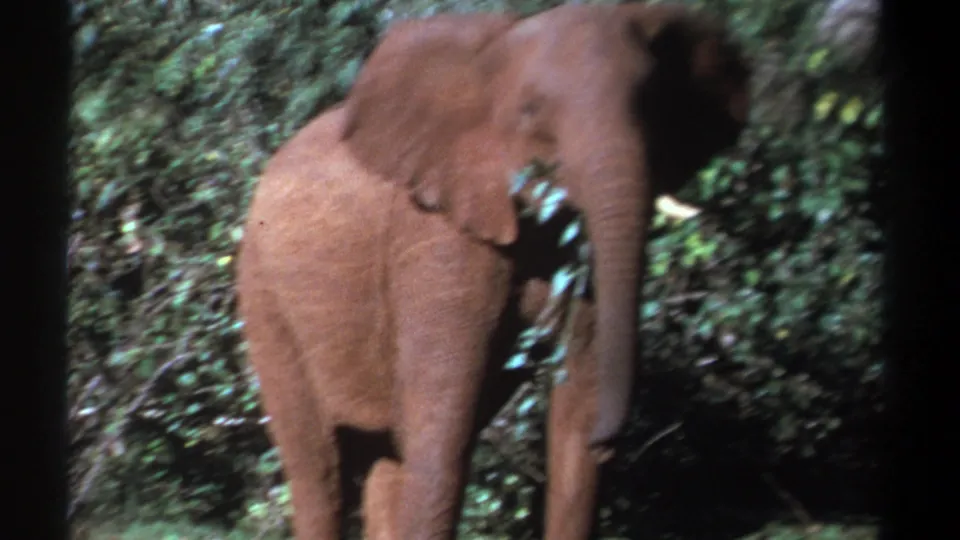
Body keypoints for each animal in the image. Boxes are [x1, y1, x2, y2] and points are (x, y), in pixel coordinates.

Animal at [235, 2, 751, 539]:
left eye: (652, 103)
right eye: (531, 112)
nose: (612, 440)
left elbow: (575, 415)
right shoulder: (435, 231)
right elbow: (442, 435)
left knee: (385, 461)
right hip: (263, 297)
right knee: (320, 469)